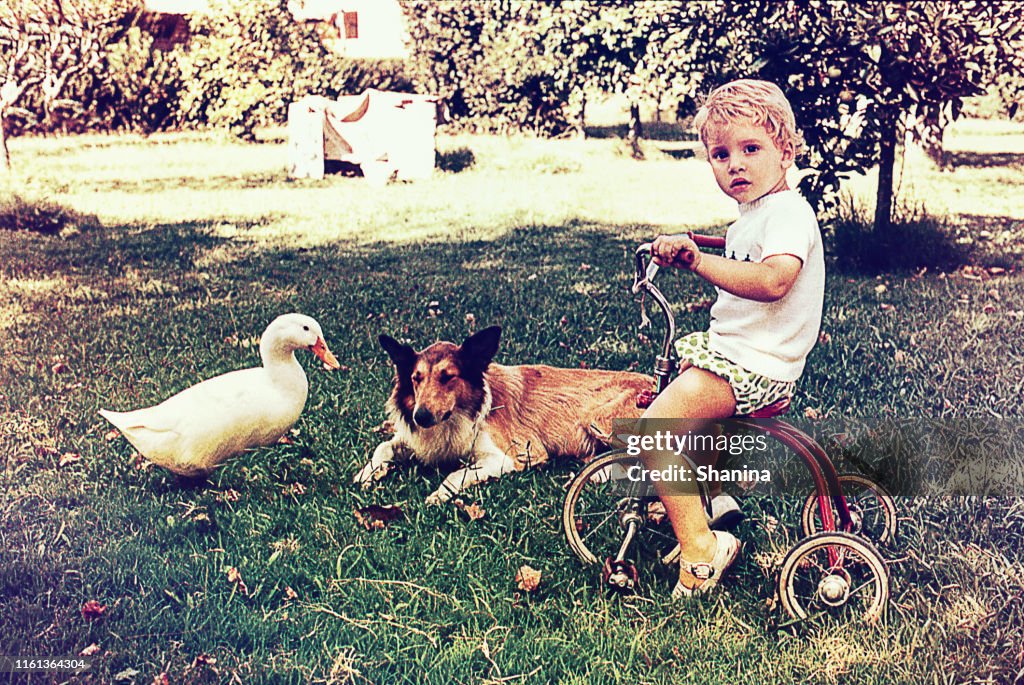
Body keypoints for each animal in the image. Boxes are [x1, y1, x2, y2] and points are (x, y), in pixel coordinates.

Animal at [356, 325, 651, 501]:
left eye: (447, 377)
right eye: (416, 379)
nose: (421, 417)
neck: (457, 416)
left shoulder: (513, 456)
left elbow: (457, 474)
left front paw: (439, 495)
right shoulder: (416, 440)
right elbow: (383, 446)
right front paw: (366, 474)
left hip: (598, 419)